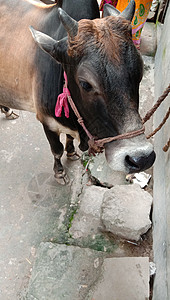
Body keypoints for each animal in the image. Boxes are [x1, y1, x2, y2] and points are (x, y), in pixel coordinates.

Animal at [0, 0, 155, 184]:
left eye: (139, 74)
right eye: (85, 84)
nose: (142, 158)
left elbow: (69, 139)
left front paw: (72, 152)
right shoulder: (46, 121)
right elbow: (57, 150)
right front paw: (60, 173)